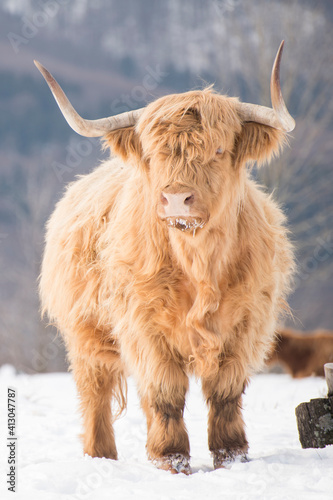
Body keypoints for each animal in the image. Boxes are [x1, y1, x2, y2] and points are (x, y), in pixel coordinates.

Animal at [36, 42, 294, 472]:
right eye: (154, 154)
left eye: (219, 149)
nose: (175, 198)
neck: (199, 264)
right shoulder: (144, 325)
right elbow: (165, 393)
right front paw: (172, 458)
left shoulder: (247, 323)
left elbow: (225, 393)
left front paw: (231, 455)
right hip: (85, 334)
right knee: (95, 392)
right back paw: (100, 454)